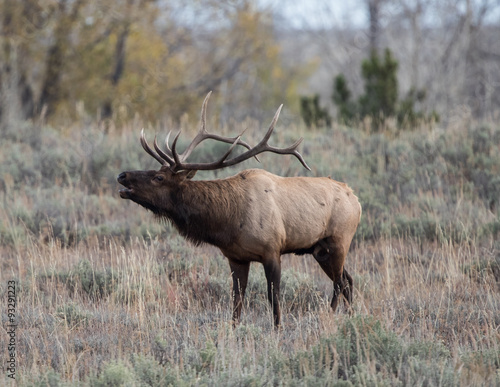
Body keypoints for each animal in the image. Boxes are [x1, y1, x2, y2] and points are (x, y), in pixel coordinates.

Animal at [117, 94, 360, 328]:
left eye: (159, 177)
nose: (122, 175)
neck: (229, 222)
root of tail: (356, 200)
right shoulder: (236, 257)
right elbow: (237, 301)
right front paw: (234, 331)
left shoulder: (272, 249)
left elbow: (274, 298)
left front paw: (277, 330)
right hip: (320, 250)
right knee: (348, 280)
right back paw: (352, 317)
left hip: (339, 240)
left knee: (340, 283)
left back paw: (329, 317)